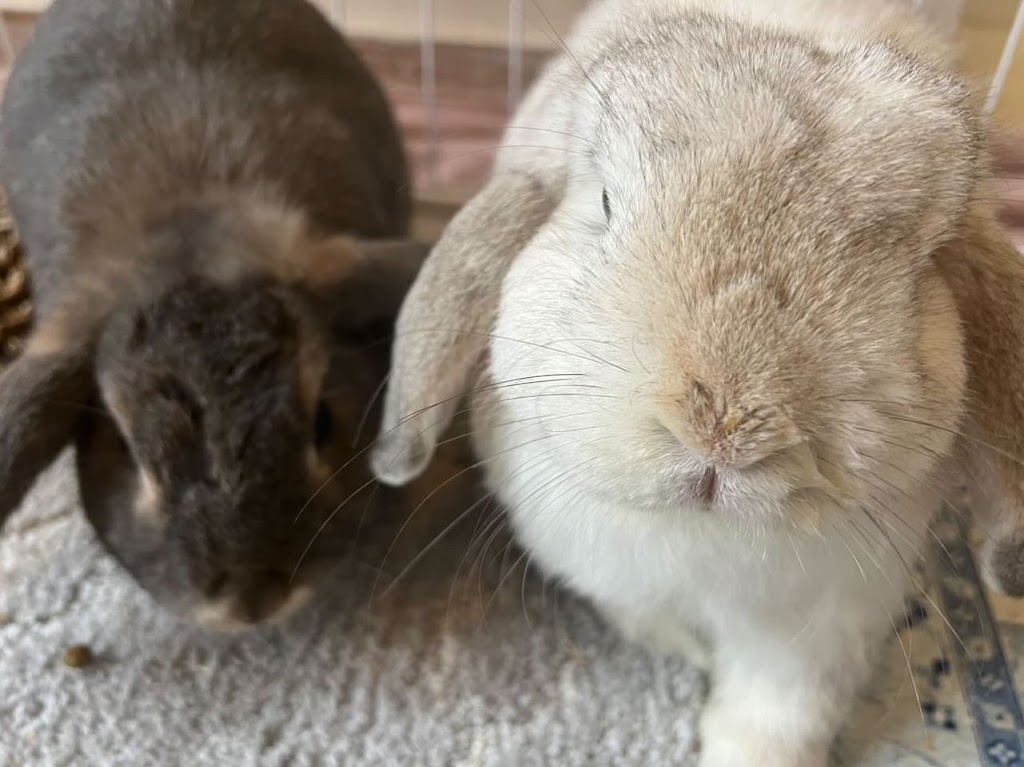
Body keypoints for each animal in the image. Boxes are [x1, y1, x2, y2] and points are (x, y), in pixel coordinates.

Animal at [370, 0, 1024, 764]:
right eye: (604, 203)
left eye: (922, 264)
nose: (724, 426)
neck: (702, 537)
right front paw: (692, 653)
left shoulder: (821, 631)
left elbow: (777, 715)